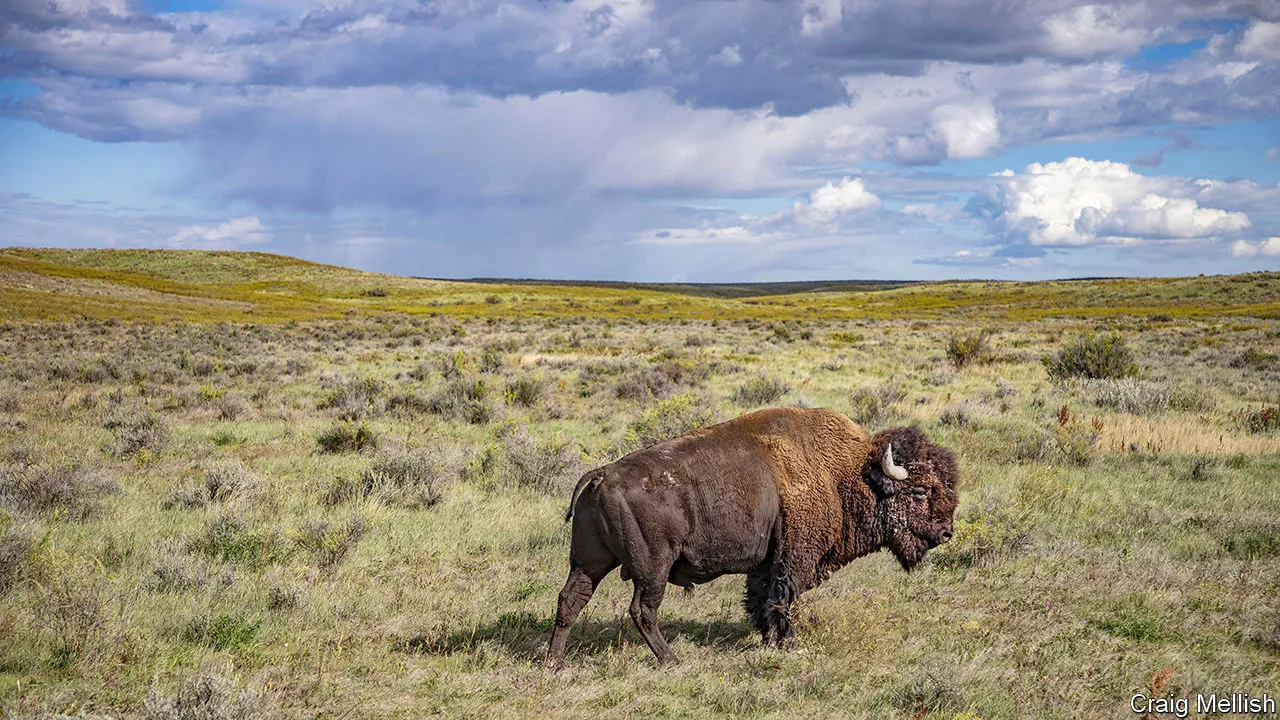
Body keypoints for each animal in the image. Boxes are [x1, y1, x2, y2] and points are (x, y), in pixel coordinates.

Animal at [542, 407, 962, 666]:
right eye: (920, 492)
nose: (945, 533)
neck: (846, 474)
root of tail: (601, 474)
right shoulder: (792, 560)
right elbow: (780, 599)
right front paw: (786, 641)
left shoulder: (765, 563)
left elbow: (761, 599)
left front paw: (767, 638)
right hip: (652, 566)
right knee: (642, 610)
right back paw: (671, 660)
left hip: (591, 561)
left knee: (571, 599)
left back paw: (554, 664)